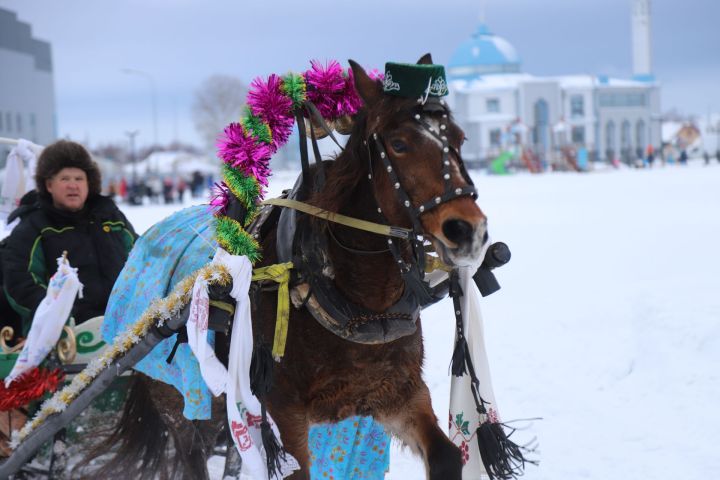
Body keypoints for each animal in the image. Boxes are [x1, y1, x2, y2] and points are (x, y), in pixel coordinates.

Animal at [84, 54, 490, 478]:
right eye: (399, 144)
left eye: (460, 138)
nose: (468, 230)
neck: (354, 301)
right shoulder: (284, 411)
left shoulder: (397, 392)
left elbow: (446, 454)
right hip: (177, 402)